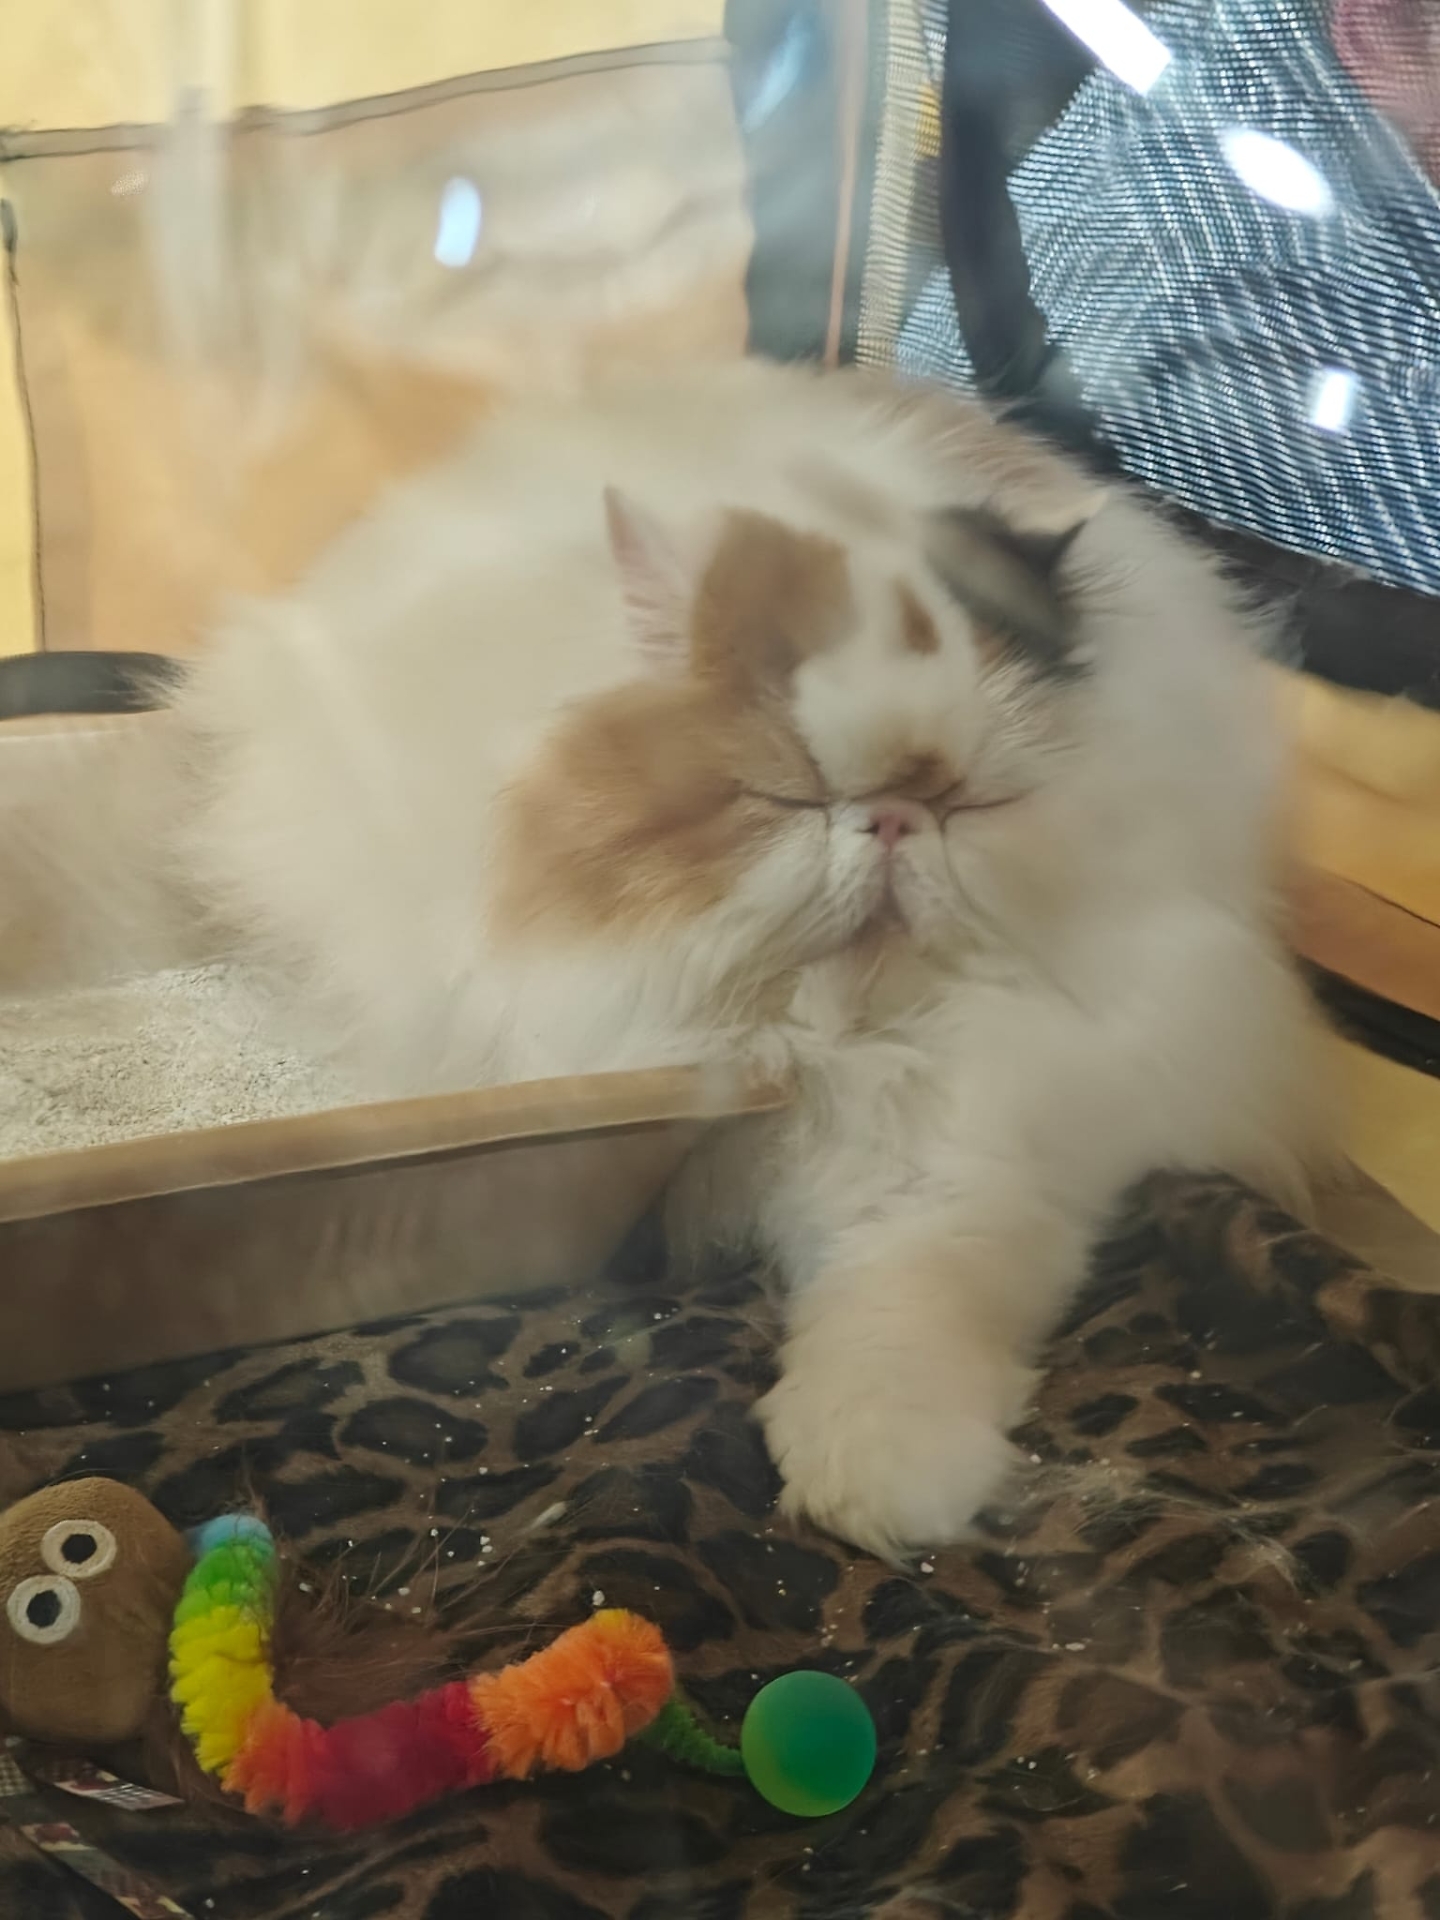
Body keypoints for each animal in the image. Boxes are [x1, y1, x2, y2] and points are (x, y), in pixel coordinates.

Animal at [1, 359, 1329, 1557]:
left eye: (971, 804)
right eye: (790, 795)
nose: (894, 822)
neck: (807, 1038)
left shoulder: (979, 1149)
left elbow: (911, 1313)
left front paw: (882, 1489)